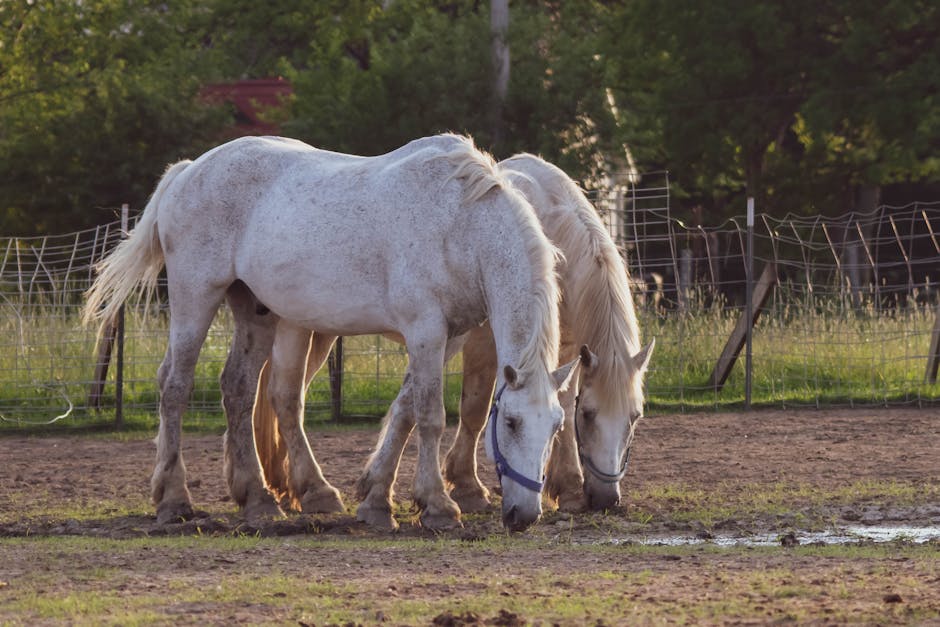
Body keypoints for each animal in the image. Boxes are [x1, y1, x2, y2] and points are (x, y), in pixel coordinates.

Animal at [84, 135, 576, 532]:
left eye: (556, 426)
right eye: (510, 422)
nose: (525, 515)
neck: (461, 224)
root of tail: (188, 171)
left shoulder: (447, 336)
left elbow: (404, 410)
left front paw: (376, 499)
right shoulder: (425, 330)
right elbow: (430, 415)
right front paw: (438, 506)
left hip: (255, 311)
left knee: (238, 389)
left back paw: (260, 499)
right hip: (195, 296)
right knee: (175, 385)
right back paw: (174, 499)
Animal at [250, 151, 652, 516]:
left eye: (635, 417)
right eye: (591, 415)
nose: (606, 499)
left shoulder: (563, 350)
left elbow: (559, 406)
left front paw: (566, 488)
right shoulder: (477, 343)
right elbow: (469, 408)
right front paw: (462, 486)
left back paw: (286, 483)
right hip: (306, 331)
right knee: (283, 397)